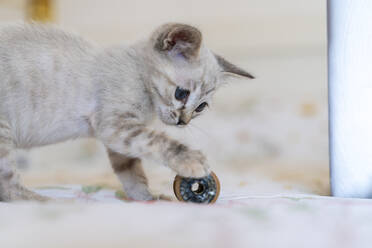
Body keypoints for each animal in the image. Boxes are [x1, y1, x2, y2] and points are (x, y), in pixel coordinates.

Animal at [0, 22, 253, 202]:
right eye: (181, 94)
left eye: (201, 107)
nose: (183, 121)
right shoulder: (115, 126)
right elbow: (158, 141)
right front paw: (190, 160)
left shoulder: (122, 135)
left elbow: (132, 171)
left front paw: (148, 198)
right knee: (10, 187)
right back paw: (46, 201)